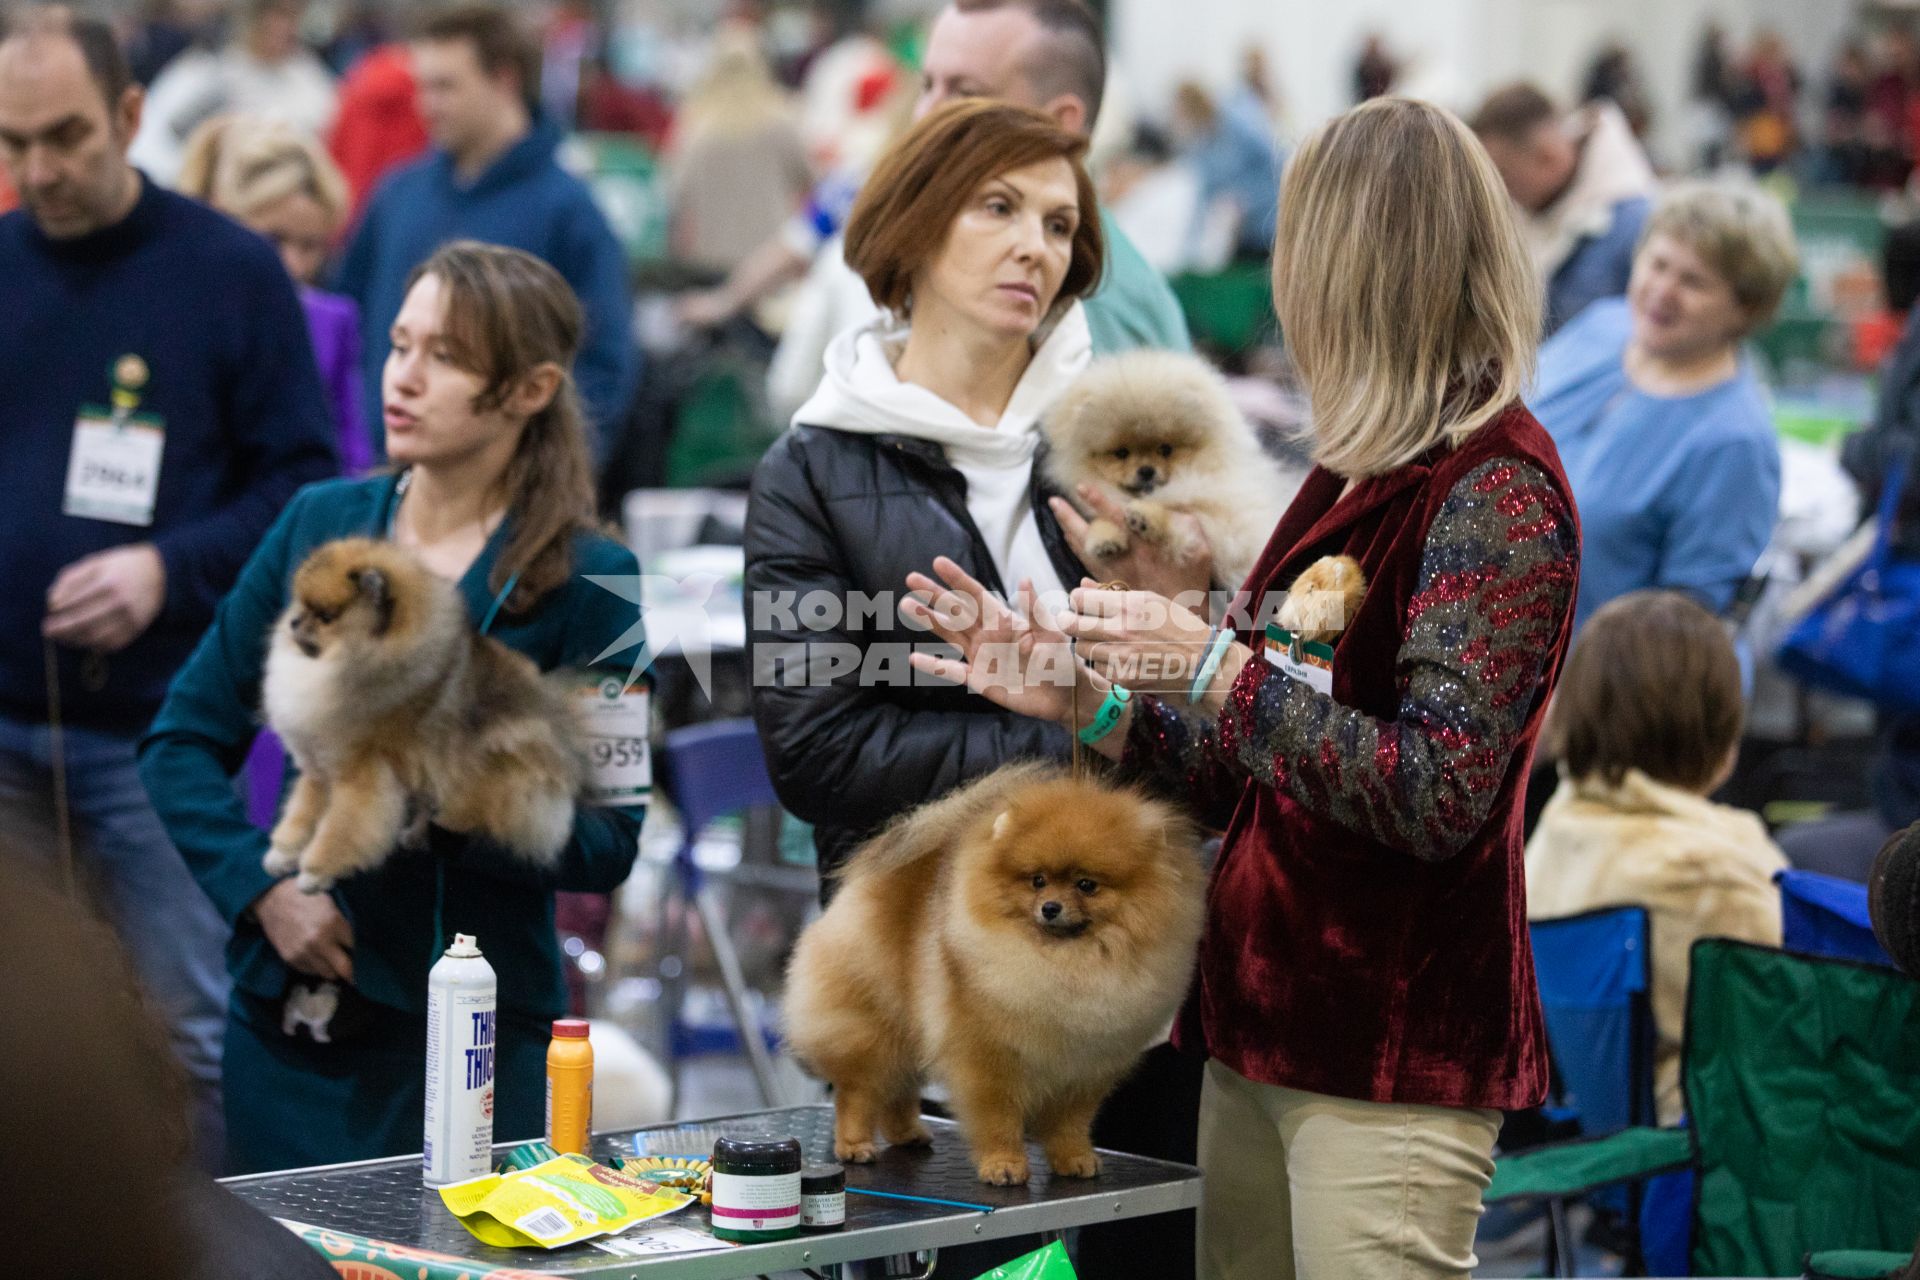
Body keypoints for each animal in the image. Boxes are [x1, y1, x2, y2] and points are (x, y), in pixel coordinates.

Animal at [261, 537, 583, 890]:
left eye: (325, 616)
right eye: (301, 605)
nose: (293, 621)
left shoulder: (362, 772)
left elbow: (344, 827)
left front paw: (315, 873)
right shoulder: (320, 765)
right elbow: (302, 809)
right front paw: (282, 854)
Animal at [779, 759, 1198, 1189]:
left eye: (1086, 885)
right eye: (1037, 880)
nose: (1050, 907)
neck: (1067, 965)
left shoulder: (1083, 1069)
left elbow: (1069, 1124)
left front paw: (1075, 1159)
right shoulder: (989, 1059)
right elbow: (998, 1120)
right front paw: (1004, 1166)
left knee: (899, 1089)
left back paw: (908, 1134)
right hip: (872, 1029)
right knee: (858, 1092)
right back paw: (854, 1145)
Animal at [1044, 351, 1297, 591]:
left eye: (1166, 449)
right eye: (1121, 453)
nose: (1146, 470)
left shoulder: (1225, 519)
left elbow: (1179, 519)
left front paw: (1146, 516)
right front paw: (1103, 538)